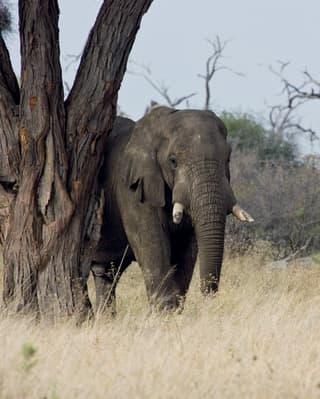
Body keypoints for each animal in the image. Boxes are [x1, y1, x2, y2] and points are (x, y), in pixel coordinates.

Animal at [91, 107, 254, 316]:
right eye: (173, 161)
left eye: (228, 158)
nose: (207, 295)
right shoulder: (133, 189)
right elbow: (153, 245)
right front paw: (165, 315)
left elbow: (187, 250)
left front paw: (175, 312)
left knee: (106, 273)